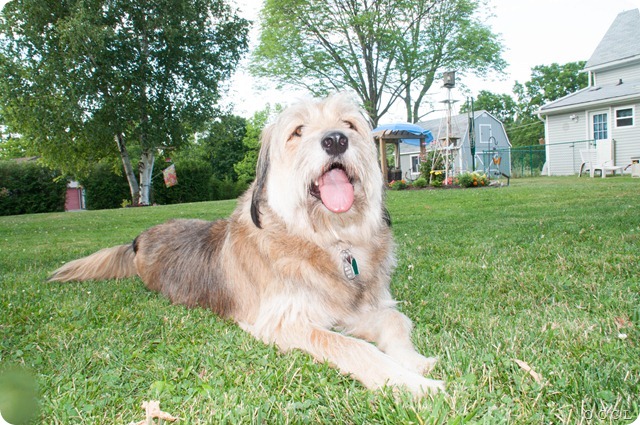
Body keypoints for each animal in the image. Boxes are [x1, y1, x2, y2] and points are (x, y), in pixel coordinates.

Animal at [49, 93, 445, 397]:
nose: (335, 140)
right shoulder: (283, 323)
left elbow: (395, 320)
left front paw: (415, 362)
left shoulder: (359, 308)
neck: (330, 240)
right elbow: (352, 346)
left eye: (349, 124)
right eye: (297, 131)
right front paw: (411, 383)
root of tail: (140, 237)